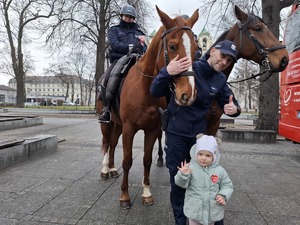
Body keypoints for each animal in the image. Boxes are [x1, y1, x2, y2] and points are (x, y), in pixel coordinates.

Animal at [98, 5, 199, 209]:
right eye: (172, 46)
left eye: (195, 48)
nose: (188, 94)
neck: (145, 88)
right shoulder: (130, 128)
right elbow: (127, 161)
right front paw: (124, 196)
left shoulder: (151, 129)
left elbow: (146, 161)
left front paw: (146, 193)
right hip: (108, 122)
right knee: (106, 142)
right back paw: (105, 170)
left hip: (118, 124)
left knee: (112, 143)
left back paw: (112, 168)